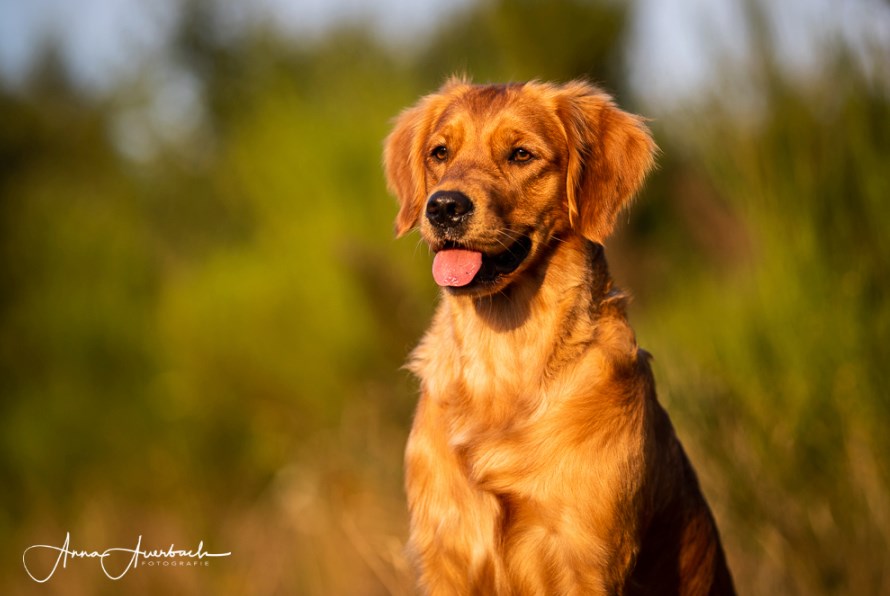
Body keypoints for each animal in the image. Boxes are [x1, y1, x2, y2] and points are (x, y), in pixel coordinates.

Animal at [386, 79, 732, 596]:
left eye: (521, 154)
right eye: (440, 152)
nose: (444, 206)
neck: (504, 359)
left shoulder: (584, 559)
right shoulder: (447, 553)